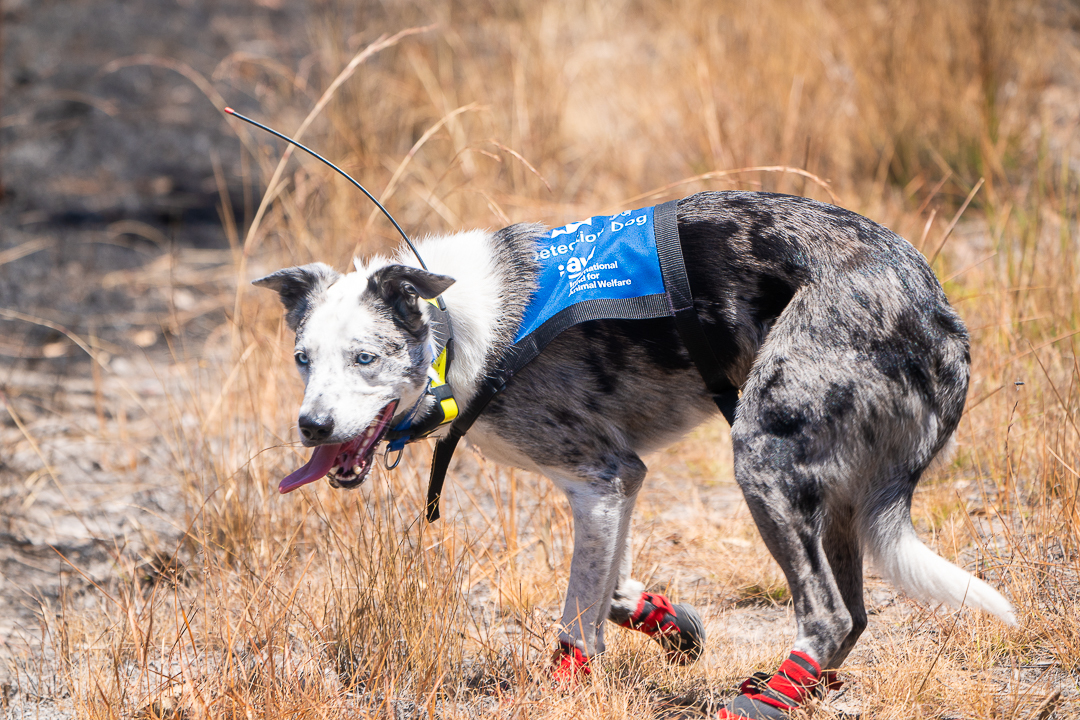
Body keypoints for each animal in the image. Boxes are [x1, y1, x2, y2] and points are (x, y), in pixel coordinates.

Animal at [257, 191, 1015, 720]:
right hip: (836, 498)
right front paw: (668, 624)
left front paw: (565, 686)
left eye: (366, 358)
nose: (311, 427)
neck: (453, 332)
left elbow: (575, 619)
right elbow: (612, 589)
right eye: (302, 359)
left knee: (826, 614)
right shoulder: (617, 481)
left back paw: (761, 701)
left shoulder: (600, 477)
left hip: (761, 461)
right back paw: (791, 688)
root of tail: (934, 307)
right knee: (853, 615)